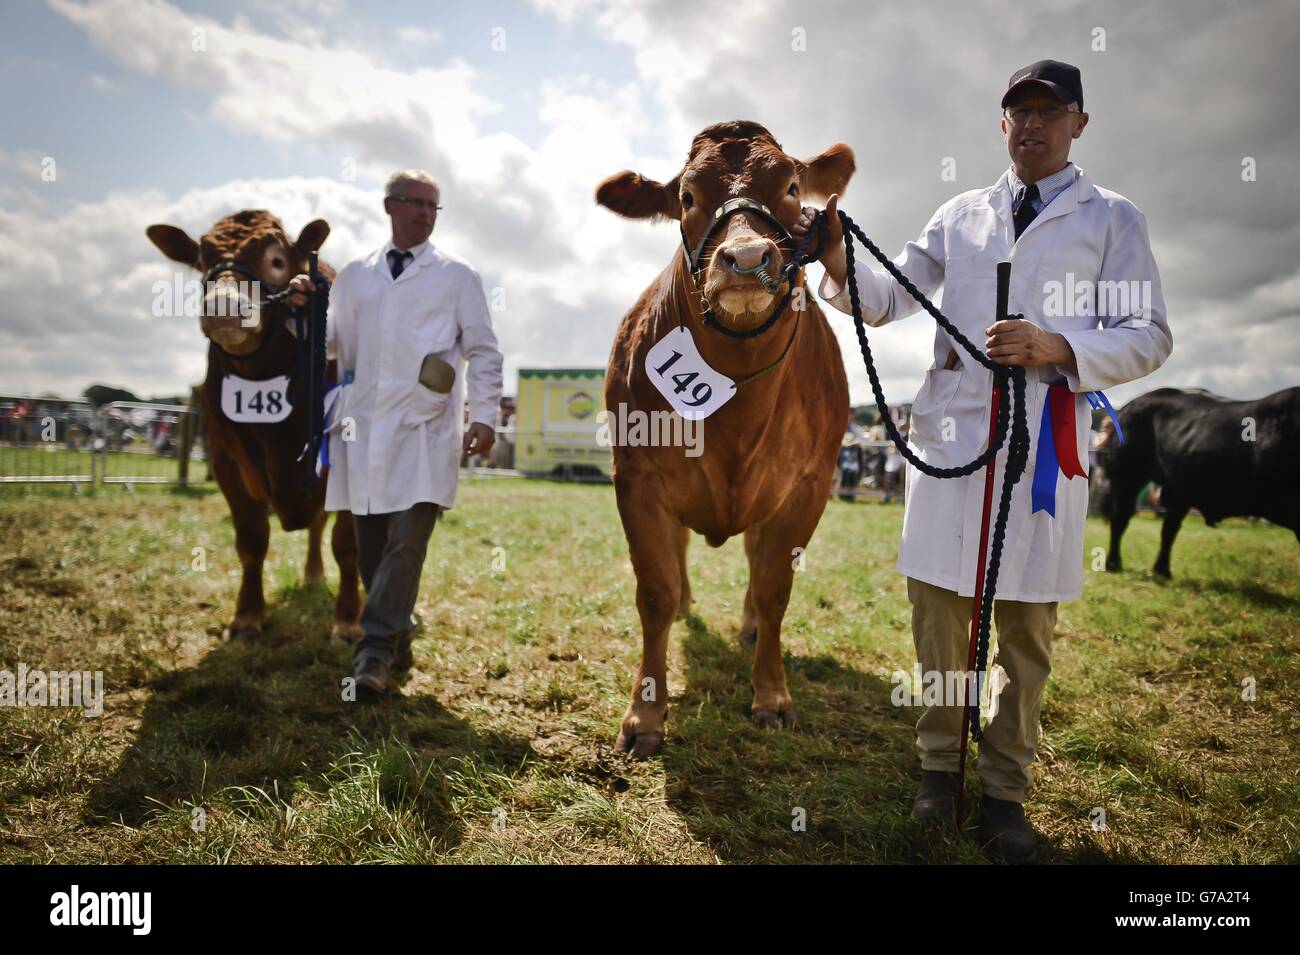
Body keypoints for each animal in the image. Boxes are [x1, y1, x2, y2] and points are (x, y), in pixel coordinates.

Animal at [147, 209, 361, 641]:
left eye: (277, 260)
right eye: (202, 262)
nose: (224, 307)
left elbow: (347, 544)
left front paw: (348, 620)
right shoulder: (226, 462)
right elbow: (251, 540)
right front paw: (246, 615)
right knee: (316, 524)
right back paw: (312, 575)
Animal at [595, 121, 852, 764]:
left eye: (791, 185)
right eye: (686, 197)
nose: (745, 258)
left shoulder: (809, 486)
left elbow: (774, 588)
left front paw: (772, 696)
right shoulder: (635, 476)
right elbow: (656, 592)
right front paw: (645, 714)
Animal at [1097, 387, 1300, 579]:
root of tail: (1130, 406)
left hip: (1178, 487)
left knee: (1169, 528)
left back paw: (1162, 571)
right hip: (1128, 478)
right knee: (1121, 518)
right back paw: (1113, 564)